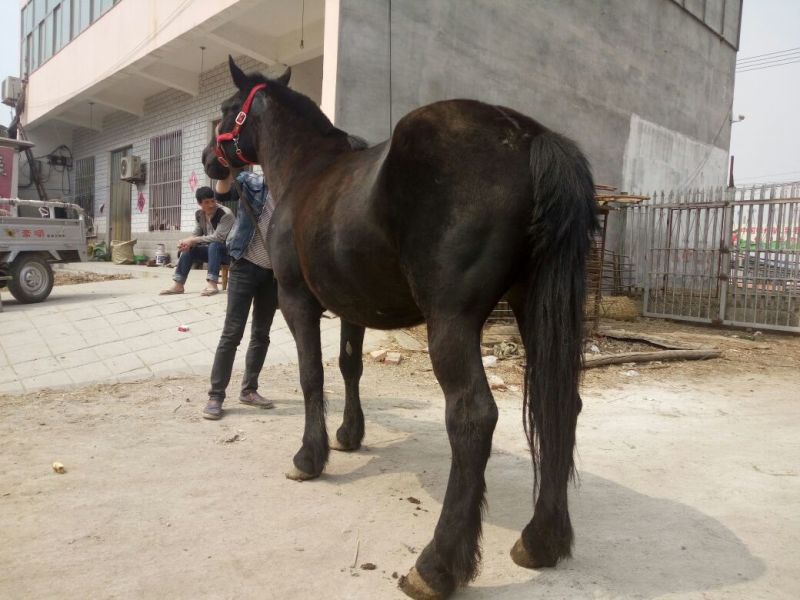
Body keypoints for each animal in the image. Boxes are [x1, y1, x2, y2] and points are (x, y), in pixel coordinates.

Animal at [202, 56, 597, 600]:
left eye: (225, 109)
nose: (208, 161)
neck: (307, 172)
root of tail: (529, 135)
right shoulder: (351, 306)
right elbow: (349, 366)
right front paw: (349, 434)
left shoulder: (296, 301)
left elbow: (312, 376)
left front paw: (309, 457)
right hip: (534, 307)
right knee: (560, 403)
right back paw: (542, 541)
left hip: (451, 320)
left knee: (473, 417)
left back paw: (436, 566)